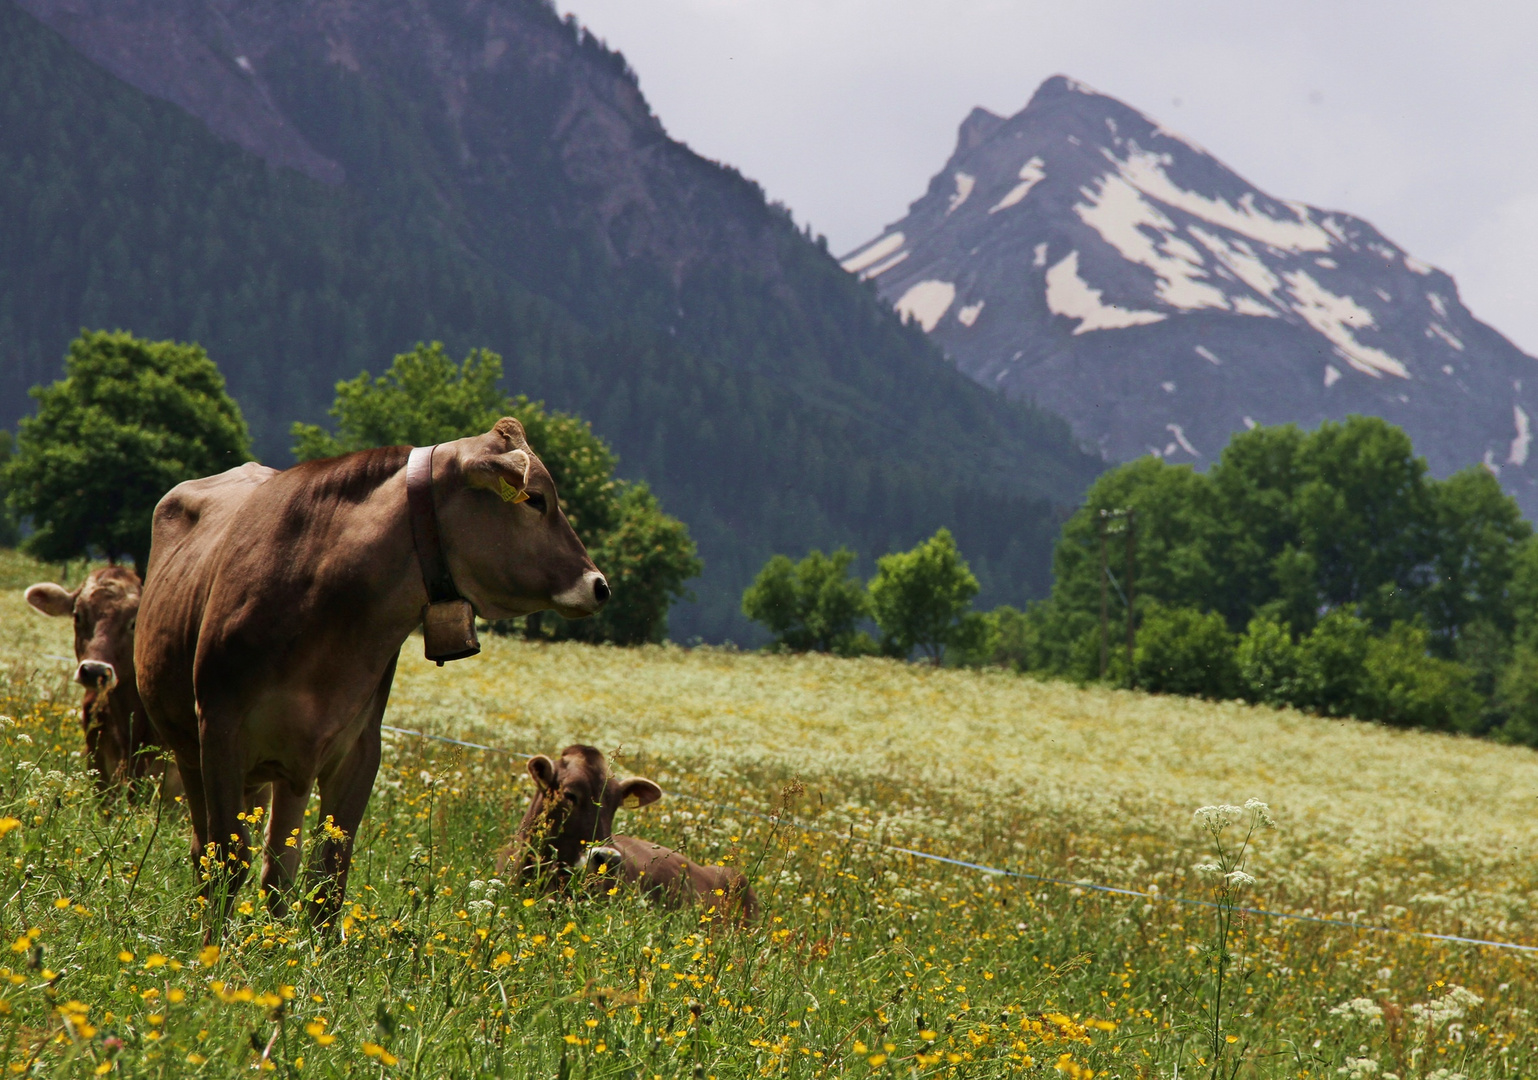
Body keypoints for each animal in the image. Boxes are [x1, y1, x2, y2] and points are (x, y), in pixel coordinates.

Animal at [133, 418, 605, 929]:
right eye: (535, 498)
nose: (600, 585)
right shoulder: (220, 729)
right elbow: (226, 864)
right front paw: (210, 949)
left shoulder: (359, 749)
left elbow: (327, 882)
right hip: (190, 750)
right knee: (208, 852)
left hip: (282, 770)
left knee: (278, 868)